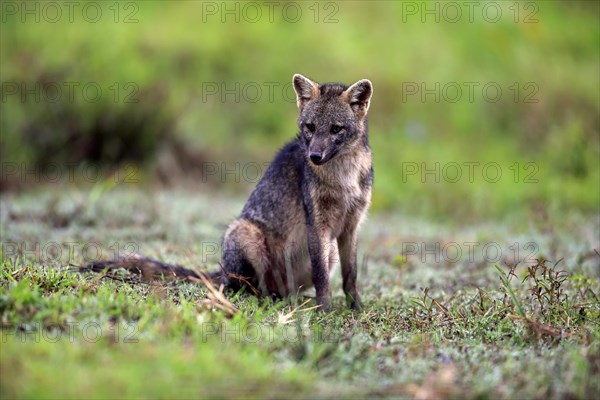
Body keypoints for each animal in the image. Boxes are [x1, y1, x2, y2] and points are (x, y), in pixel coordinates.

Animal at [83, 75, 376, 312]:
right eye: (310, 127)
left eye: (336, 129)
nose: (314, 156)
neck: (343, 180)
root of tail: (223, 270)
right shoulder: (318, 224)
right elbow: (322, 277)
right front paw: (325, 311)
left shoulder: (352, 225)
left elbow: (351, 276)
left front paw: (355, 307)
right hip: (246, 237)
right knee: (246, 288)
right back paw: (269, 299)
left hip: (327, 252)